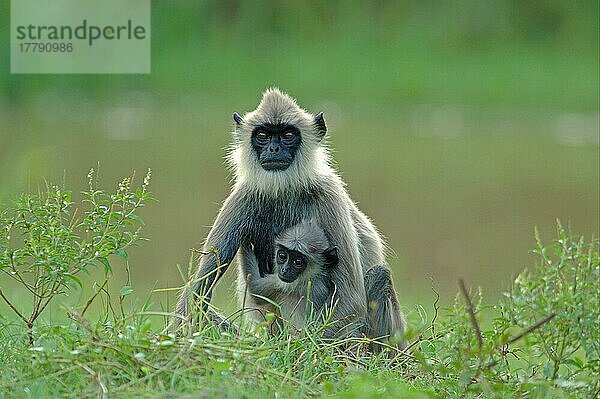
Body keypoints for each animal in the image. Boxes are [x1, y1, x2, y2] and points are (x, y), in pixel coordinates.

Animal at [175, 88, 408, 340]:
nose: (274, 149)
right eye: (263, 136)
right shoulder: (243, 197)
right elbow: (194, 300)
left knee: (379, 275)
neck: (284, 189)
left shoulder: (329, 194)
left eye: (287, 135)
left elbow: (352, 301)